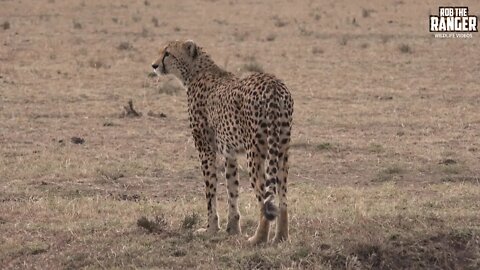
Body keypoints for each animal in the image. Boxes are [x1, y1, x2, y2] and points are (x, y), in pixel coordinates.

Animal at [151, 40, 292, 245]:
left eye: (167, 53)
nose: (154, 66)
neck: (195, 71)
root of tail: (273, 85)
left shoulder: (205, 150)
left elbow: (210, 191)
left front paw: (211, 228)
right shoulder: (230, 152)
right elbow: (232, 189)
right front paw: (232, 228)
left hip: (255, 152)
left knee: (263, 198)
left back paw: (257, 239)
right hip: (282, 149)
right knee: (282, 198)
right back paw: (281, 237)